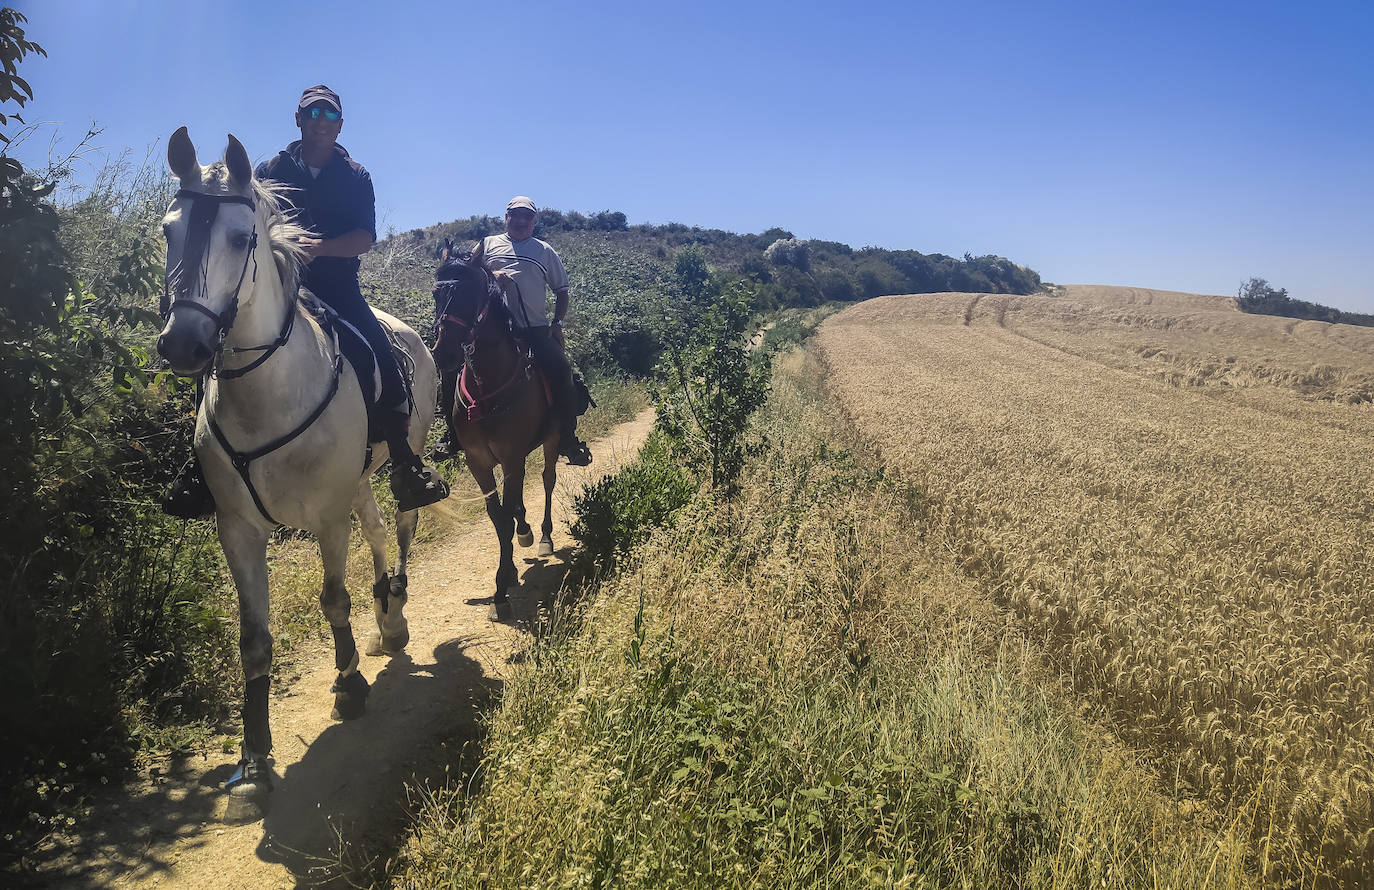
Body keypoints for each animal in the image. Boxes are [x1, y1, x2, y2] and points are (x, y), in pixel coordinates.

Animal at [156, 128, 436, 818]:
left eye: (241, 237)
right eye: (169, 230)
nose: (183, 345)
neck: (266, 394)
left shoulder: (326, 516)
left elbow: (333, 597)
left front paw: (350, 684)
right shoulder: (238, 531)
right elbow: (254, 641)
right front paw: (255, 761)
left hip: (399, 462)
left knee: (403, 526)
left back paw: (395, 613)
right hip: (357, 479)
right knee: (377, 531)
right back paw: (385, 616)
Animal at [428, 243, 557, 618]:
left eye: (470, 295)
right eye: (436, 294)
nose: (443, 352)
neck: (489, 384)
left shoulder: (512, 456)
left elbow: (507, 512)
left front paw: (501, 588)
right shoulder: (479, 461)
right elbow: (497, 517)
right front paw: (505, 579)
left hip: (553, 440)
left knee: (547, 479)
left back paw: (543, 536)